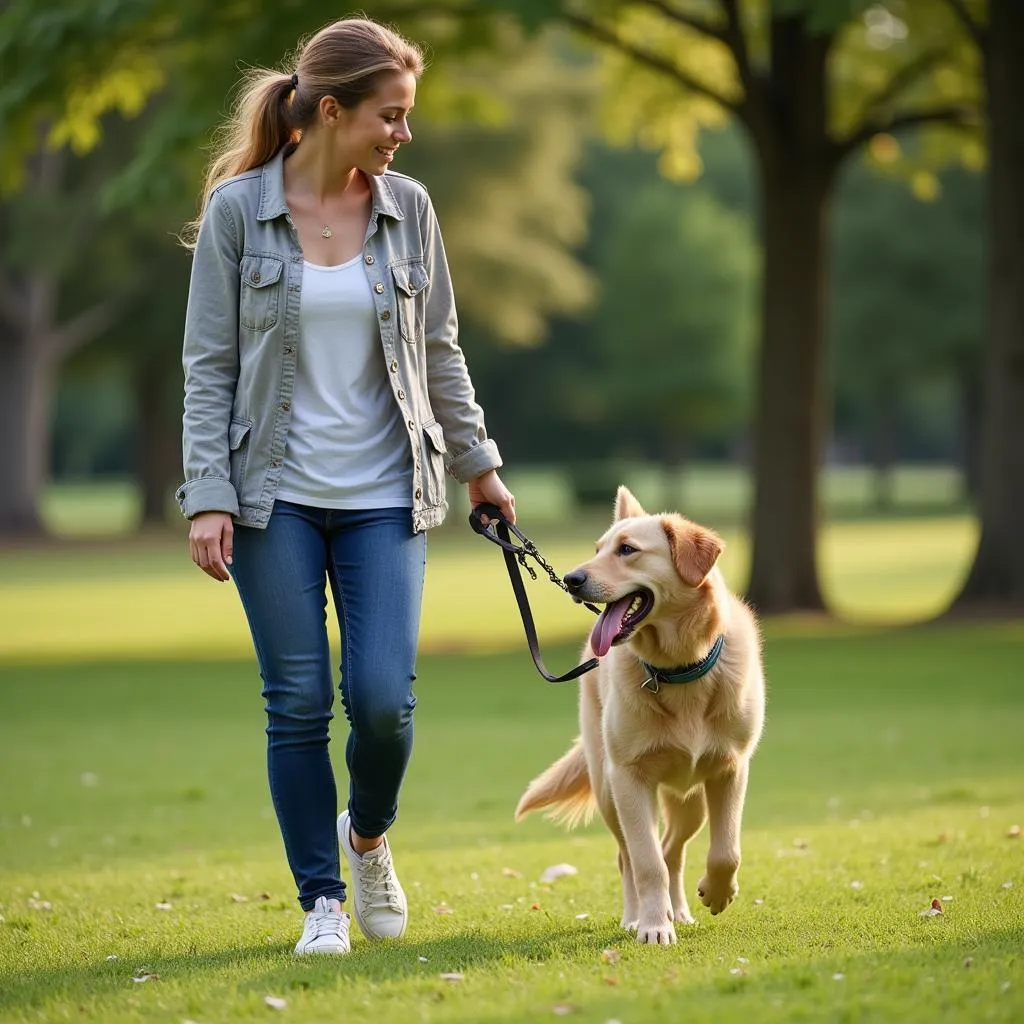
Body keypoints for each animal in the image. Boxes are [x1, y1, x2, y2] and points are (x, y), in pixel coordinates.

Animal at [516, 485, 765, 942]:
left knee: (672, 850)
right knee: (630, 857)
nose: (572, 580)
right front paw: (653, 927)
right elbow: (646, 863)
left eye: (627, 550)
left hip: (690, 801)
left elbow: (726, 851)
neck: (679, 669)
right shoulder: (629, 778)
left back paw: (679, 910)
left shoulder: (730, 768)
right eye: (597, 549)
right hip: (608, 790)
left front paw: (717, 893)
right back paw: (638, 916)